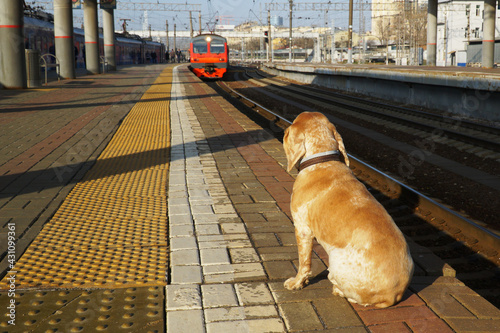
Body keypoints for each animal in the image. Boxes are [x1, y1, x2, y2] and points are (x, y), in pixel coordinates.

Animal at [284, 112, 412, 308]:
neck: (323, 159)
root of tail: (393, 296)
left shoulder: (302, 229)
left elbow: (304, 263)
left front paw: (296, 283)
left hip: (335, 260)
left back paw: (337, 289)